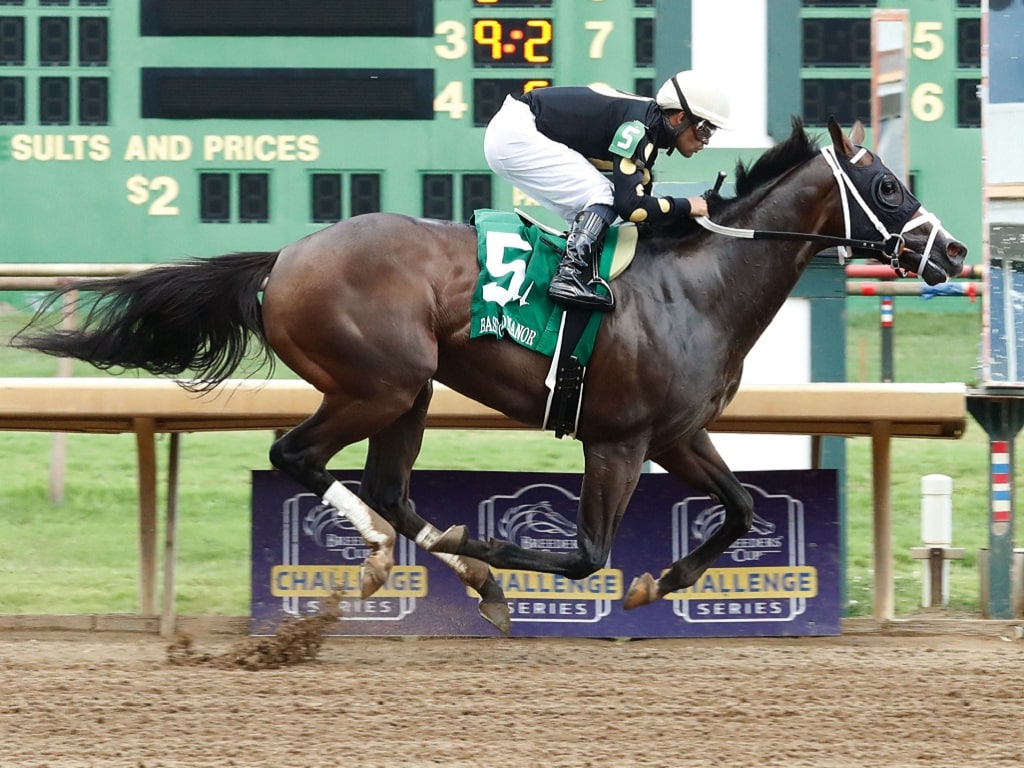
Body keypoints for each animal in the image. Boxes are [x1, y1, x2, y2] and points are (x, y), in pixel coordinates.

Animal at [16, 118, 966, 630]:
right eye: (886, 186)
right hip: (378, 383)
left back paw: (448, 567)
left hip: (410, 391)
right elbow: (585, 556)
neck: (697, 287)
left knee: (385, 485)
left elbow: (741, 509)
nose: (952, 251)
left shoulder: (679, 434)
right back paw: (395, 555)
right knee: (300, 457)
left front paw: (662, 581)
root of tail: (284, 257)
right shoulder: (618, 441)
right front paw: (521, 557)